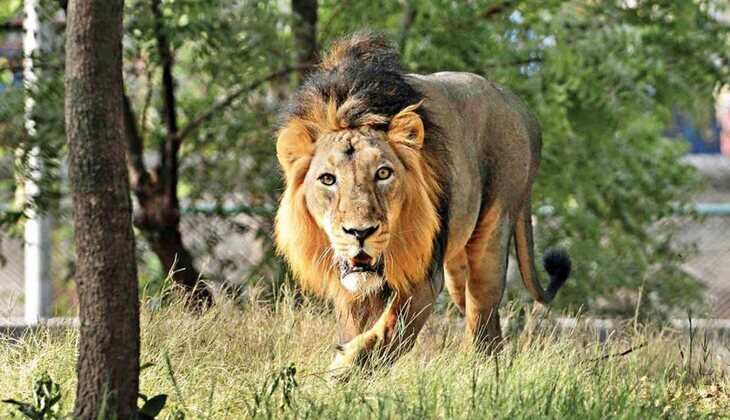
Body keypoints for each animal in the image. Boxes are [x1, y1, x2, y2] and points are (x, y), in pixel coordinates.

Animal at [275, 32, 571, 376]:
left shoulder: (424, 275)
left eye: (383, 173)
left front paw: (344, 367)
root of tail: (521, 108)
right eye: (327, 179)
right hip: (457, 267)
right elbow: (358, 327)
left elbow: (391, 330)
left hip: (493, 231)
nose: (359, 232)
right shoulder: (351, 288)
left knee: (481, 312)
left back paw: (476, 372)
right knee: (487, 320)